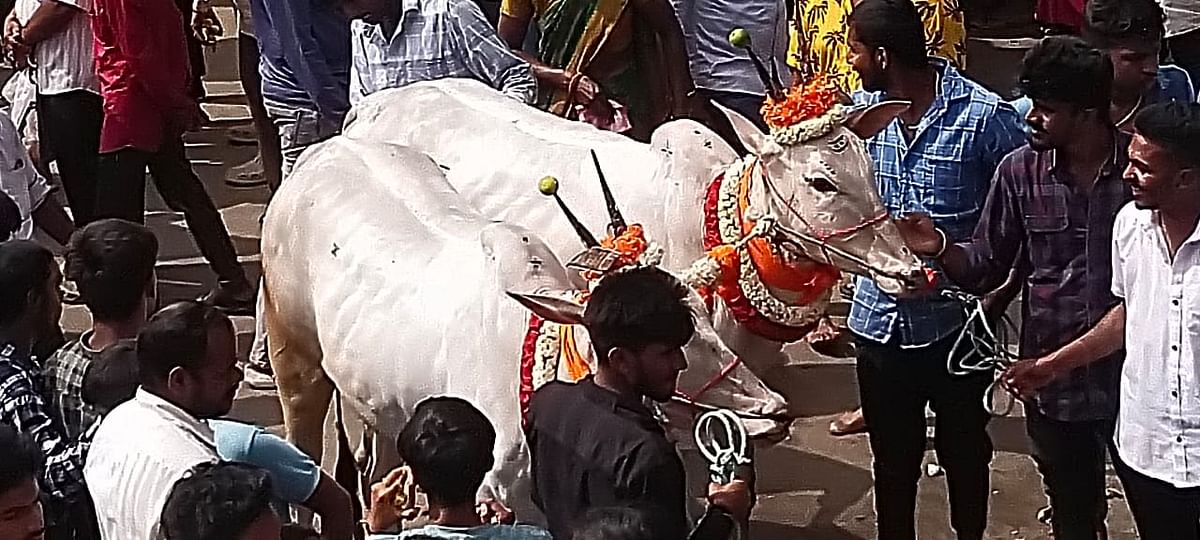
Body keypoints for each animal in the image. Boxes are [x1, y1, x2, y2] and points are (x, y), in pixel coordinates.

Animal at [258, 136, 792, 513]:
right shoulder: (496, 497)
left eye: (704, 317)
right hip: (293, 356)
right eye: (672, 342)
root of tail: (314, 156)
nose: (778, 412)